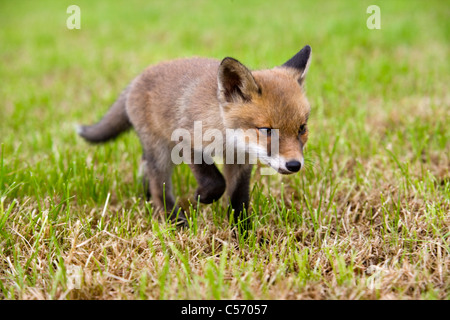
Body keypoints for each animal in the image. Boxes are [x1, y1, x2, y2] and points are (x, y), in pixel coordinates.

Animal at [79, 45, 312, 229]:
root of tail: (136, 79)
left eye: (302, 128)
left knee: (146, 168)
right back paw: (175, 220)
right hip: (162, 151)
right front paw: (202, 197)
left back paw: (147, 199)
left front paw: (244, 233)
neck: (228, 140)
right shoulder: (187, 142)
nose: (294, 165)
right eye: (266, 130)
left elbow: (239, 199)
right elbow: (216, 182)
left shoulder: (241, 161)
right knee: (158, 184)